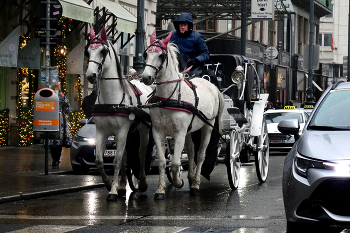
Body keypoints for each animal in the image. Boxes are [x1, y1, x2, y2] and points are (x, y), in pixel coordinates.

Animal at [85, 26, 152, 200]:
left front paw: (112, 192)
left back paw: (142, 183)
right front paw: (110, 184)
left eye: (103, 51)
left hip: (143, 129)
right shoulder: (102, 131)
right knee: (126, 156)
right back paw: (122, 186)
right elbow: (100, 161)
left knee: (141, 153)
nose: (90, 75)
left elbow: (115, 161)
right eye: (88, 51)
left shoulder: (122, 130)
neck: (111, 101)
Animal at [139, 30, 224, 199]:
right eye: (146, 54)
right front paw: (160, 190)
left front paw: (178, 182)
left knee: (200, 154)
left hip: (207, 127)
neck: (168, 97)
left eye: (161, 56)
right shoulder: (158, 131)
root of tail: (212, 85)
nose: (146, 77)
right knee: (191, 152)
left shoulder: (179, 132)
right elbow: (162, 162)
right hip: (190, 130)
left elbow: (175, 163)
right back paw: (191, 178)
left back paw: (196, 183)